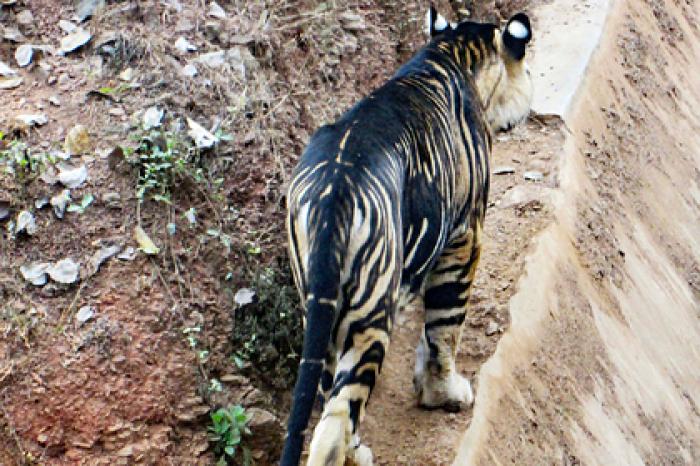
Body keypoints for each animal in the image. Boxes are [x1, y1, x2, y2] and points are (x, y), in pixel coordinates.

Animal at [278, 6, 532, 462]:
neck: (451, 50)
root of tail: (333, 191)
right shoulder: (465, 235)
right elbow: (445, 326)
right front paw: (445, 393)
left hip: (321, 312)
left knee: (331, 397)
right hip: (369, 315)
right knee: (334, 419)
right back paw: (356, 456)